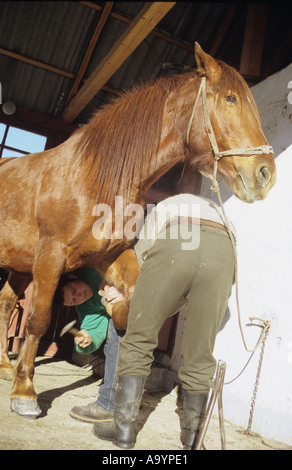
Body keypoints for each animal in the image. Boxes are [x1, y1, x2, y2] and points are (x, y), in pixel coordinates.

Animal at [0, 45, 276, 418]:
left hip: (19, 265)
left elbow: (133, 302)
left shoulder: (109, 255)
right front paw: (25, 392)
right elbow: (39, 319)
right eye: (230, 99)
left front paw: (113, 315)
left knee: (5, 301)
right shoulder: (50, 257)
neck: (96, 178)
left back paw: (4, 364)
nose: (265, 174)